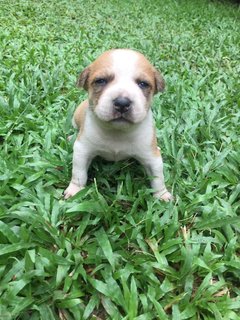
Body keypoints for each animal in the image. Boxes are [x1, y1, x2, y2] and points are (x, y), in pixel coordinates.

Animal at [64, 48, 172, 200]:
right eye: (100, 81)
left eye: (143, 84)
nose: (122, 103)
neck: (117, 132)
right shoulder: (82, 150)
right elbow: (78, 173)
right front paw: (75, 189)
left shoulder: (152, 157)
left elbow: (158, 177)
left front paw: (162, 194)